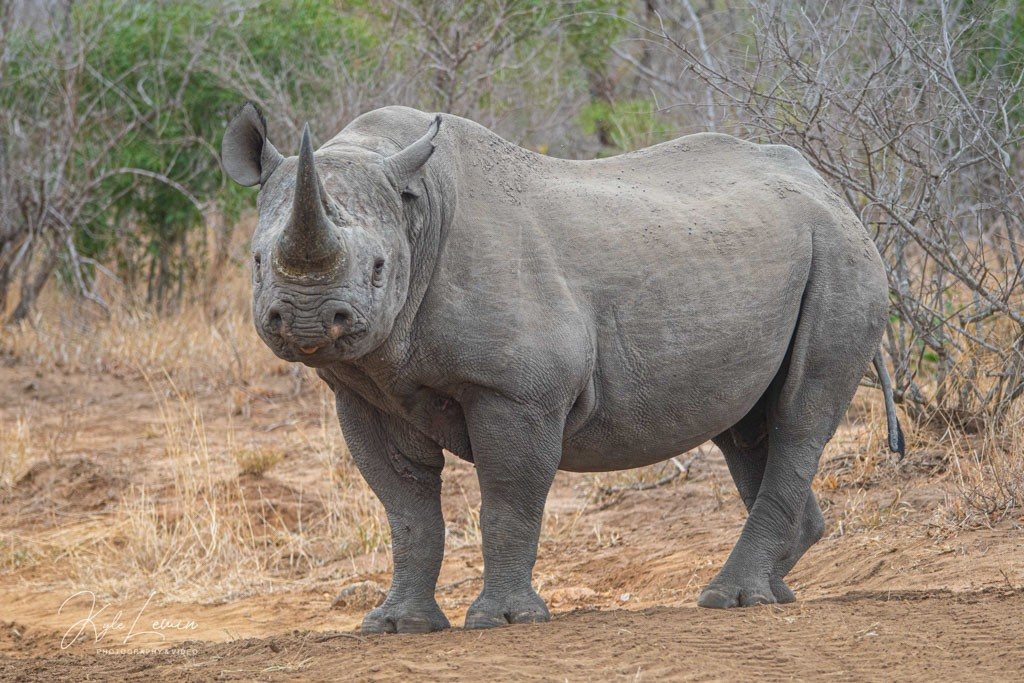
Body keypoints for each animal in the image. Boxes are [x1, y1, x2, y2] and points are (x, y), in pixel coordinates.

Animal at [221, 102, 904, 633]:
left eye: (379, 268)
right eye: (255, 261)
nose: (308, 321)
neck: (414, 210)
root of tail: (830, 191)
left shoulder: (518, 391)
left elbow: (507, 499)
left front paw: (503, 620)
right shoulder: (363, 391)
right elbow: (406, 508)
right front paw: (394, 626)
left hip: (842, 256)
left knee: (798, 415)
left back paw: (729, 599)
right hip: (775, 251)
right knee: (746, 428)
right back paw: (772, 592)